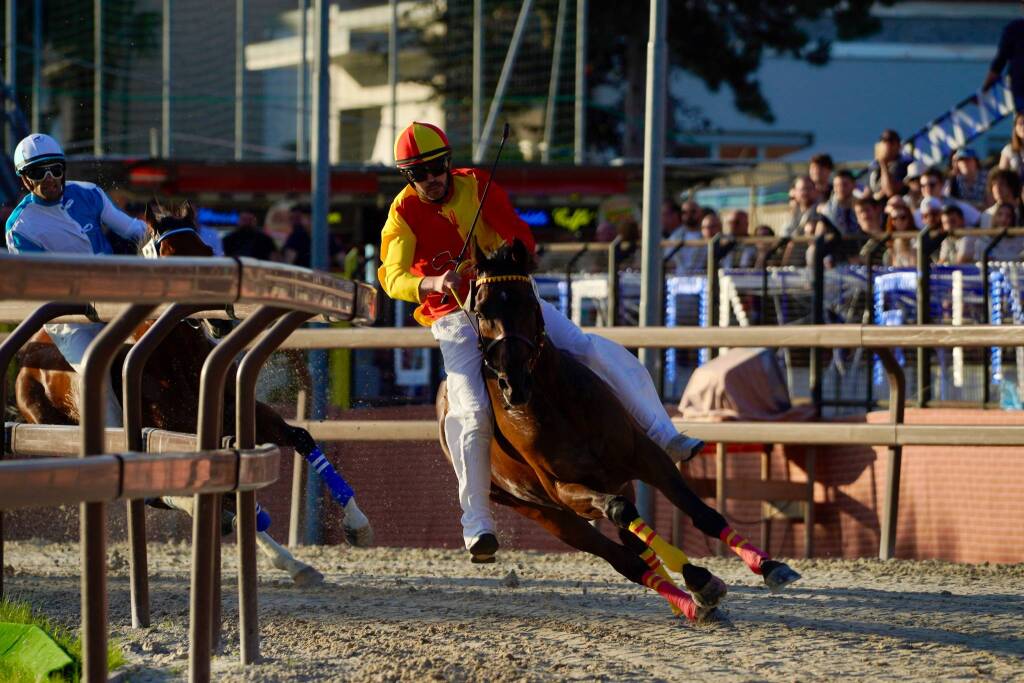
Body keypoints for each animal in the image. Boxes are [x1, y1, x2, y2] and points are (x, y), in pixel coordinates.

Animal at [12, 200, 372, 585]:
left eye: (208, 251)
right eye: (172, 256)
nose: (220, 320)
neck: (178, 358)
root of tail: (30, 353)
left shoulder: (237, 411)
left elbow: (301, 438)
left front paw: (357, 523)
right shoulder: (176, 432)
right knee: (168, 496)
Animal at [432, 241, 798, 626]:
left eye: (530, 304)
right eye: (481, 310)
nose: (513, 384)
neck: (560, 405)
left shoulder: (644, 456)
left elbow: (701, 512)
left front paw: (768, 565)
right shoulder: (565, 490)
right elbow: (620, 513)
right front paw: (700, 577)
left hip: (616, 479)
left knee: (637, 545)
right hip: (545, 513)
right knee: (625, 559)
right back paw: (691, 593)